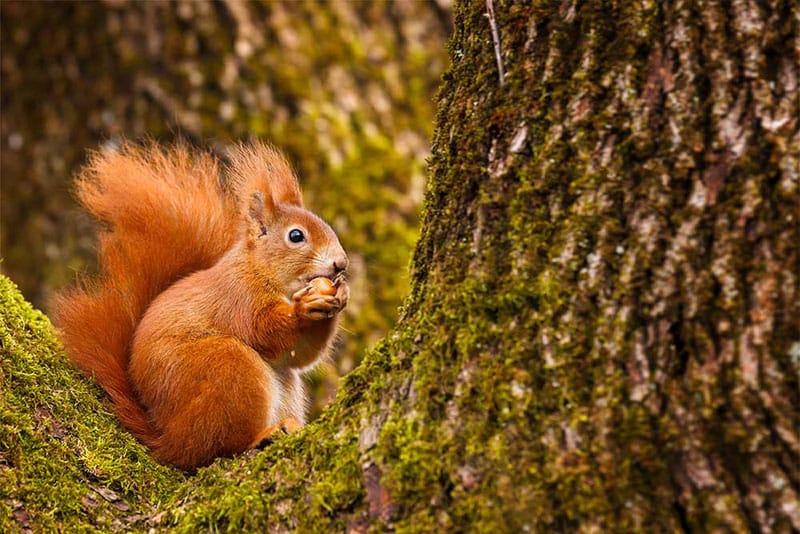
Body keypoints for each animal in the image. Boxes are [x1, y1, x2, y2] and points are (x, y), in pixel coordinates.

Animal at [52, 142, 349, 470]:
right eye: (296, 236)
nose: (341, 263)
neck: (261, 270)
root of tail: (167, 439)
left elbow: (300, 355)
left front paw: (340, 296)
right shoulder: (238, 297)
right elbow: (264, 331)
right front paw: (303, 310)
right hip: (227, 368)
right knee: (216, 448)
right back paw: (260, 436)